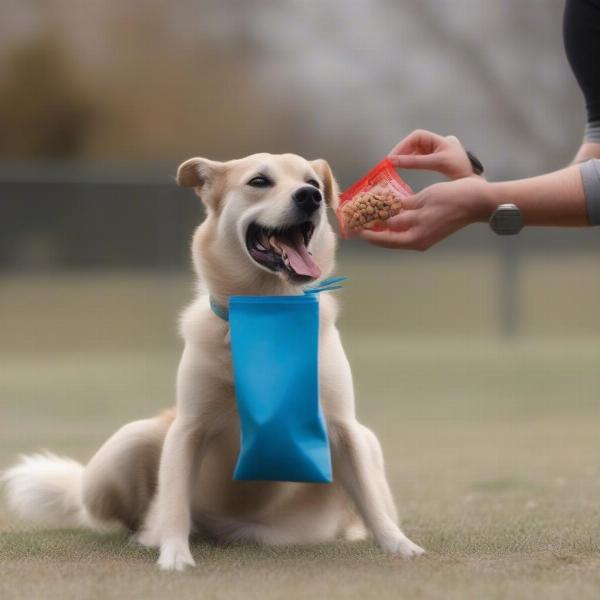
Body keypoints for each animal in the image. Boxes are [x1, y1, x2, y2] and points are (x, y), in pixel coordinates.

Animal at [2, 152, 424, 568]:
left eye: (313, 183)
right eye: (259, 181)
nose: (311, 197)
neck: (267, 308)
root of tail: (225, 529)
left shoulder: (343, 429)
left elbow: (370, 499)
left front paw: (398, 545)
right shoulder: (189, 427)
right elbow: (174, 501)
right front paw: (174, 554)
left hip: (366, 443)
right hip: (124, 449)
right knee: (123, 511)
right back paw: (147, 534)